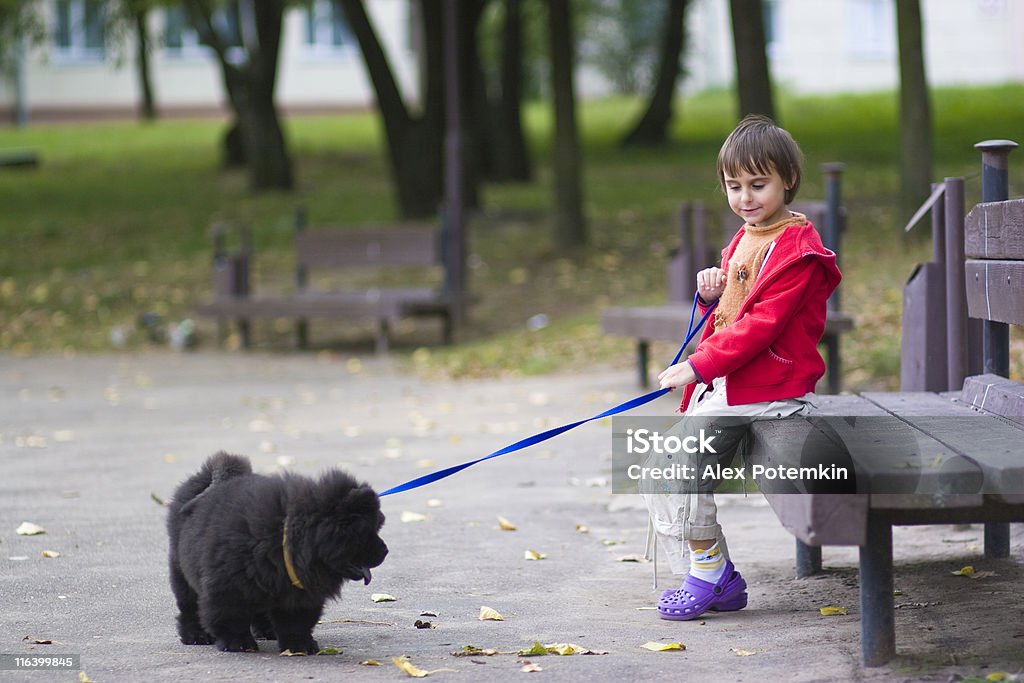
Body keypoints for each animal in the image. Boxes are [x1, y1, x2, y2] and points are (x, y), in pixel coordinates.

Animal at [167, 450, 387, 655]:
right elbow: (230, 618)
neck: (284, 537)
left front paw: (300, 645)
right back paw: (196, 635)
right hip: (181, 572)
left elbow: (296, 623)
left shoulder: (299, 593)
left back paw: (267, 631)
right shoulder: (227, 589)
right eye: (368, 532)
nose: (385, 551)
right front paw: (237, 643)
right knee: (189, 607)